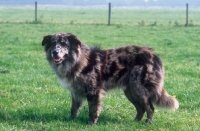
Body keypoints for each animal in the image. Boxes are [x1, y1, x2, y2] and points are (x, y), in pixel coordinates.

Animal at [41, 32, 179, 124]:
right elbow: (74, 108)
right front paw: (71, 120)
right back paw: (135, 122)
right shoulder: (76, 92)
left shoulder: (93, 91)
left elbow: (93, 110)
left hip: (139, 89)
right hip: (130, 92)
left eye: (64, 44)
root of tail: (154, 55)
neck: (78, 61)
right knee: (140, 109)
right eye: (53, 43)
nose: (55, 52)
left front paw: (91, 124)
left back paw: (147, 123)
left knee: (150, 108)